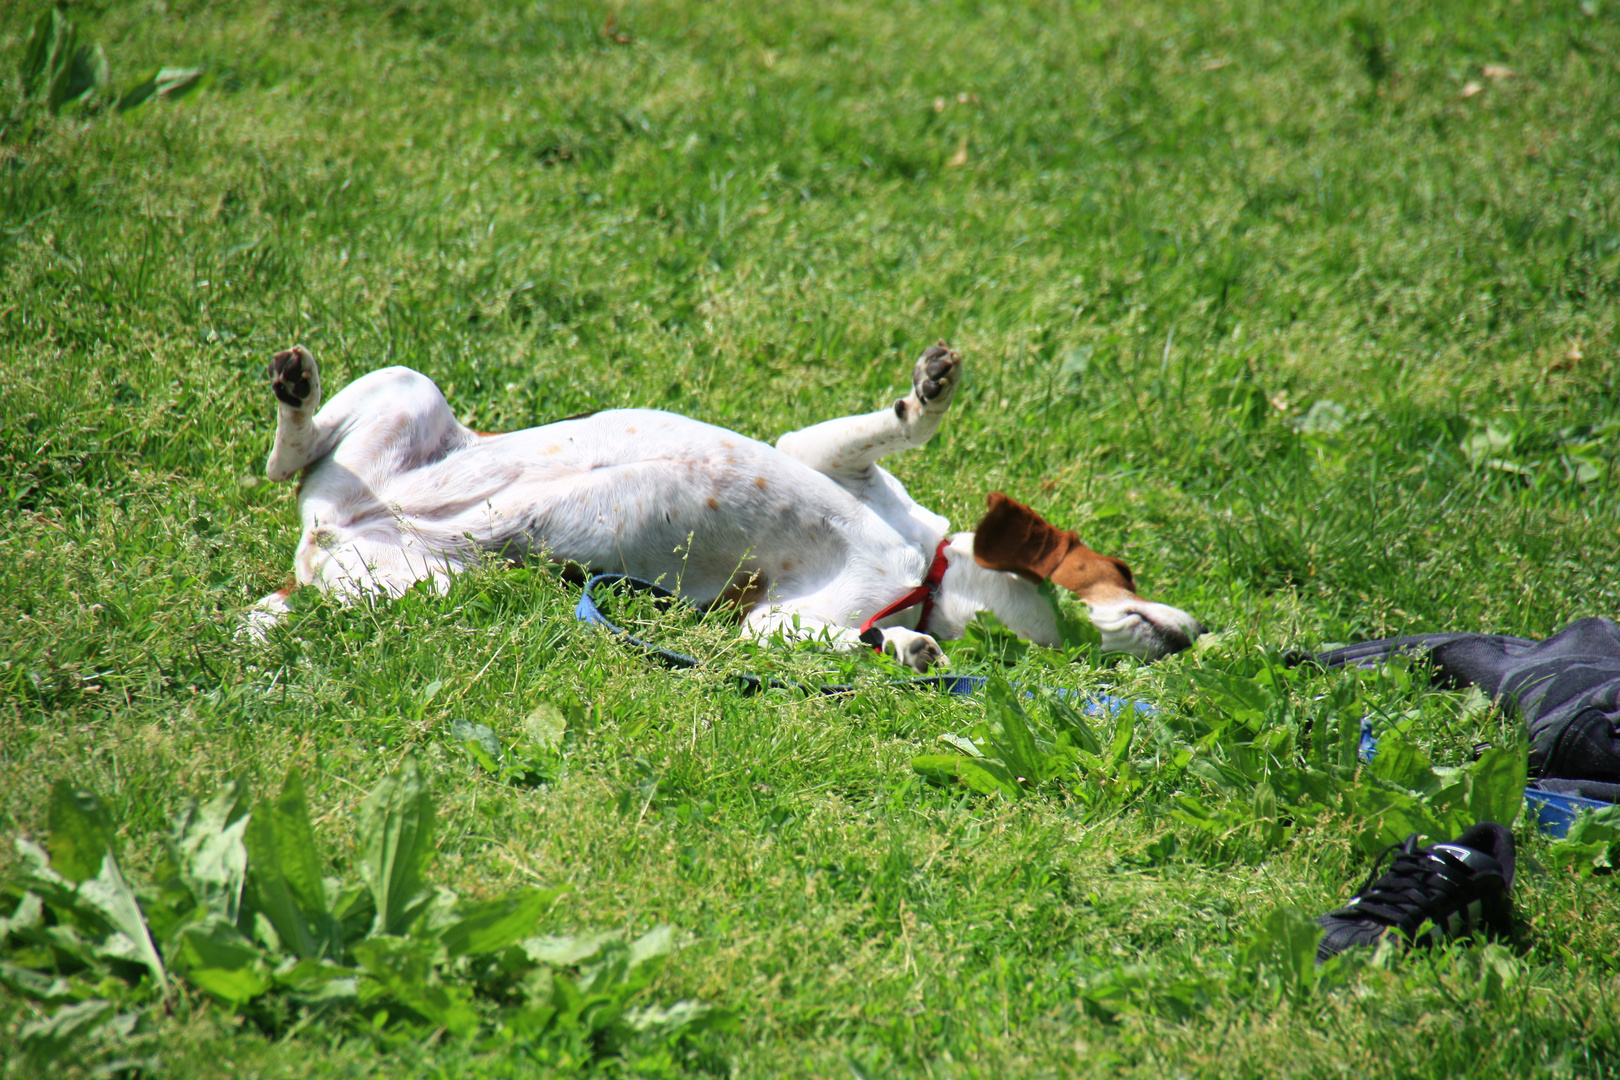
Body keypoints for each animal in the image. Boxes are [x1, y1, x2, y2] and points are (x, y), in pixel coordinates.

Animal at [243, 344, 1205, 667]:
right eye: (1124, 571)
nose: (1196, 636)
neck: (927, 575)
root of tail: (324, 537)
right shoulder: (823, 455)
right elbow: (894, 428)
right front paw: (928, 392)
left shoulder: (779, 620)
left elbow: (845, 637)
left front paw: (910, 648)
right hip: (407, 389)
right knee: (282, 456)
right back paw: (296, 386)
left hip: (418, 586)